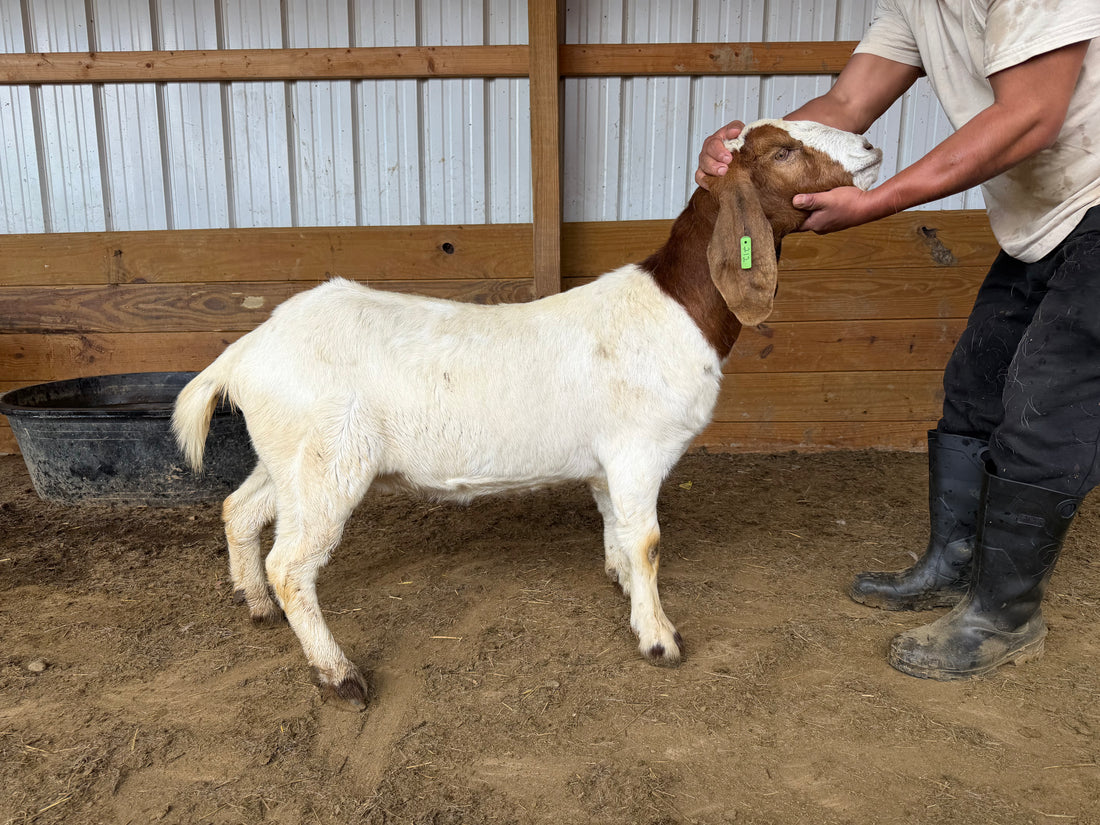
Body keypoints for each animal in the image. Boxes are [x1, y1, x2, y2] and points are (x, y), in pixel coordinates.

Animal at [173, 119, 882, 711]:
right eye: (782, 150)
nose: (870, 145)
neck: (672, 308)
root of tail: (246, 349)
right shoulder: (639, 450)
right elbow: (649, 541)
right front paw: (659, 639)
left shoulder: (608, 463)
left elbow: (619, 531)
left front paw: (622, 586)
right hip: (327, 461)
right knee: (292, 565)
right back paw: (338, 674)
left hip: (289, 456)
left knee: (240, 509)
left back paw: (254, 603)